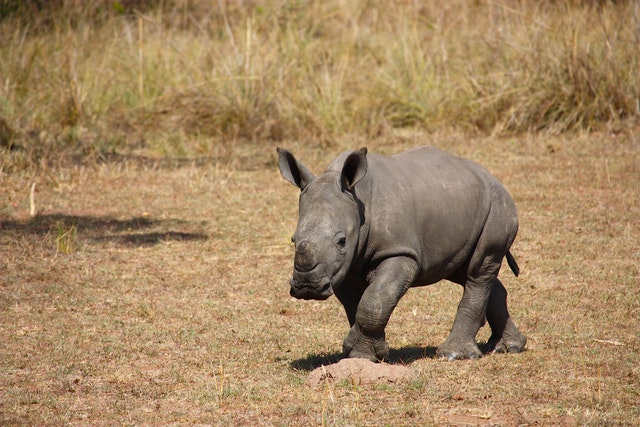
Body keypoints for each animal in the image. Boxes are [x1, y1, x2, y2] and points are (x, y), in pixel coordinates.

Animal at [278, 146, 528, 362]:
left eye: (341, 241)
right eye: (293, 240)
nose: (307, 286)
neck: (357, 198)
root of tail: (493, 178)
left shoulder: (399, 252)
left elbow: (374, 301)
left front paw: (363, 355)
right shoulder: (340, 268)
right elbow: (357, 305)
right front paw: (362, 354)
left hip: (498, 205)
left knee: (479, 269)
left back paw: (454, 354)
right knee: (464, 270)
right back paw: (508, 347)